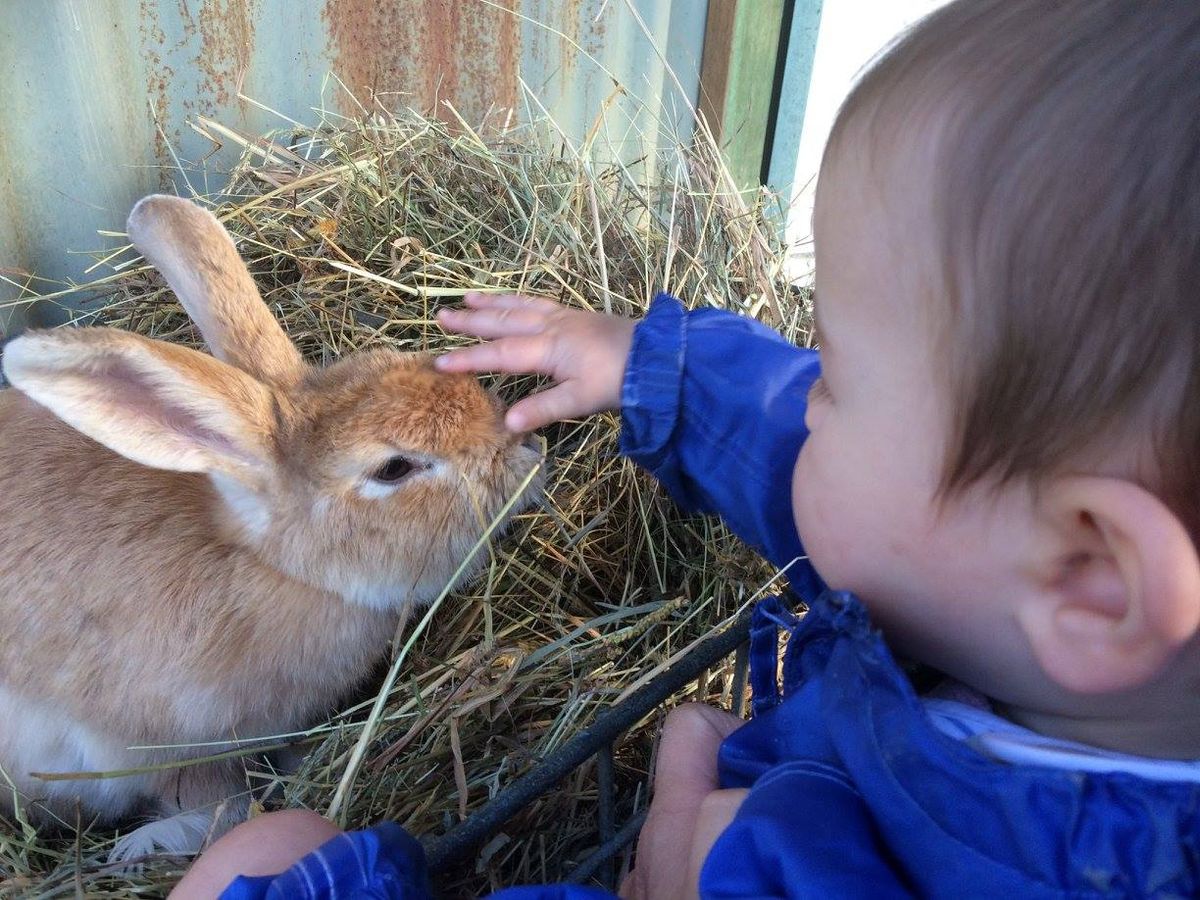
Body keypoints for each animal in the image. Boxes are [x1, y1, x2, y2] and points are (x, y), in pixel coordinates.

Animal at [0, 195, 540, 859]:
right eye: (394, 468)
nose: (527, 454)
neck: (267, 565)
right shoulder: (156, 746)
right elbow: (216, 805)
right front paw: (143, 846)